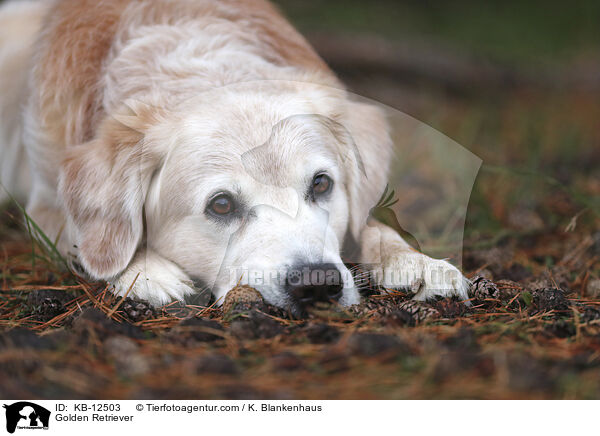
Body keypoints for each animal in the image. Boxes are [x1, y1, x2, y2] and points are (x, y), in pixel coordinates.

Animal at [0, 0, 468, 314]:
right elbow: (85, 238)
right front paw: (146, 270)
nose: (317, 284)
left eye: (321, 184)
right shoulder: (44, 205)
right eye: (221, 205)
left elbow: (371, 223)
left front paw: (411, 260)